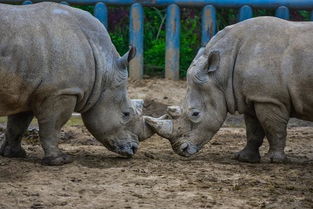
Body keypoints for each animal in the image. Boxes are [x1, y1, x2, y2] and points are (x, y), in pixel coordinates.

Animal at [0, 1, 152, 165]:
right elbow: (53, 126)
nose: (133, 149)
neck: (103, 70)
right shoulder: (61, 91)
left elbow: (17, 124)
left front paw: (14, 154)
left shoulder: (27, 89)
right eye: (126, 114)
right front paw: (60, 160)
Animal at [146, 16, 312, 163]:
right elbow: (253, 130)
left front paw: (275, 160)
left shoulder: (270, 99)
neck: (221, 72)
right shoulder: (253, 97)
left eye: (195, 114)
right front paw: (245, 158)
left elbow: (274, 128)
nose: (181, 149)